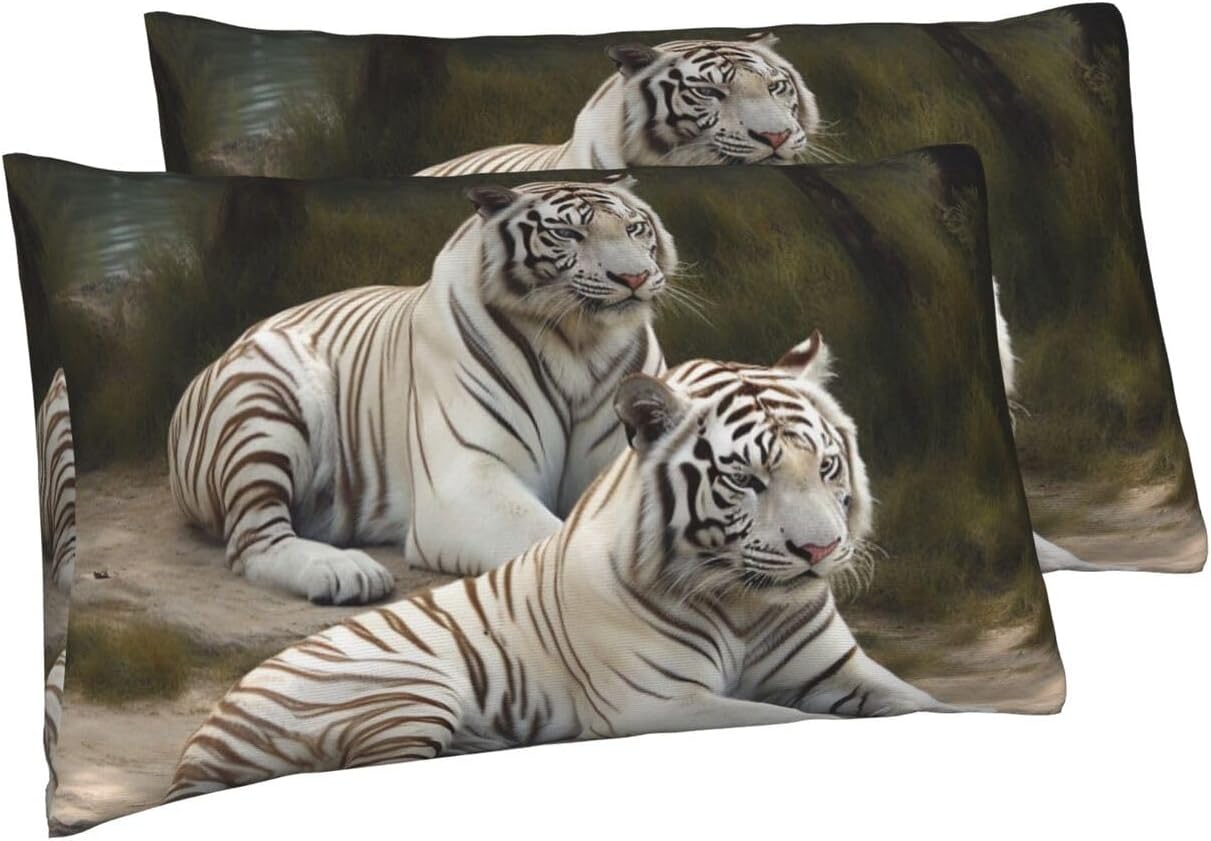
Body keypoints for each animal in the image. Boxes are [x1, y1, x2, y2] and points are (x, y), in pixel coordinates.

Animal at [166, 335, 950, 802]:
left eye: (825, 466)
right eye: (745, 480)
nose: (819, 550)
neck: (744, 605)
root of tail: (208, 729)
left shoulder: (840, 668)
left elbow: (924, 705)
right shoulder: (658, 703)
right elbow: (779, 718)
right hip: (409, 693)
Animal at [168, 178, 674, 604]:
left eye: (634, 228)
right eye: (569, 234)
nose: (632, 277)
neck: (580, 344)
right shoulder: (464, 479)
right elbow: (549, 541)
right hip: (265, 404)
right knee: (253, 539)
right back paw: (345, 574)